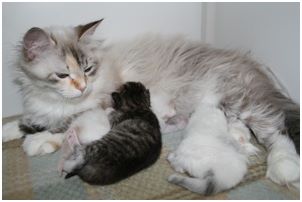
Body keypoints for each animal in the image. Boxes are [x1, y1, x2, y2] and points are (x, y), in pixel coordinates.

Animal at [2, 19, 300, 189]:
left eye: (87, 69)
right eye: (63, 75)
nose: (82, 86)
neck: (54, 100)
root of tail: (250, 62)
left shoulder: (99, 107)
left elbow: (66, 126)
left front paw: (39, 142)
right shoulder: (39, 108)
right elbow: (25, 121)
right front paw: (13, 131)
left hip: (242, 101)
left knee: (276, 131)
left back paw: (283, 168)